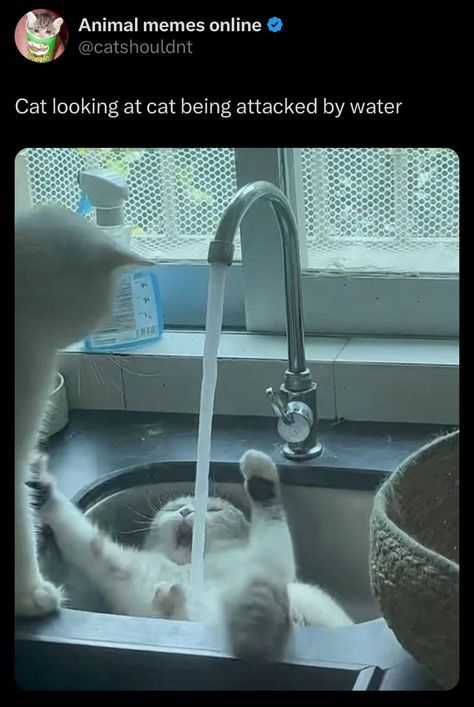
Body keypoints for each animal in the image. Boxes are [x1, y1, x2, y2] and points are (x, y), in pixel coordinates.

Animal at [32, 450, 352, 660]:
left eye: (213, 509)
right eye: (174, 508)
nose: (187, 511)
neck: (193, 569)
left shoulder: (270, 560)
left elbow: (271, 517)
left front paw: (258, 470)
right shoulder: (119, 567)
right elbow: (77, 533)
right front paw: (37, 484)